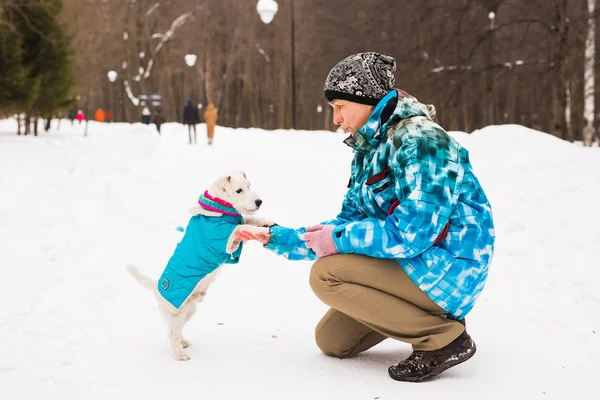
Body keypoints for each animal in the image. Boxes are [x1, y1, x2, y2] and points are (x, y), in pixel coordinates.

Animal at [129, 170, 274, 360]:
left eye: (249, 186)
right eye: (238, 190)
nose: (259, 202)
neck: (220, 209)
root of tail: (155, 286)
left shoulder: (235, 231)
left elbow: (248, 219)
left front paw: (266, 221)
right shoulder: (223, 237)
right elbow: (241, 228)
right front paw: (261, 230)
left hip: (189, 310)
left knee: (177, 330)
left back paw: (183, 342)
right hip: (177, 312)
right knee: (172, 333)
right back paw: (179, 354)